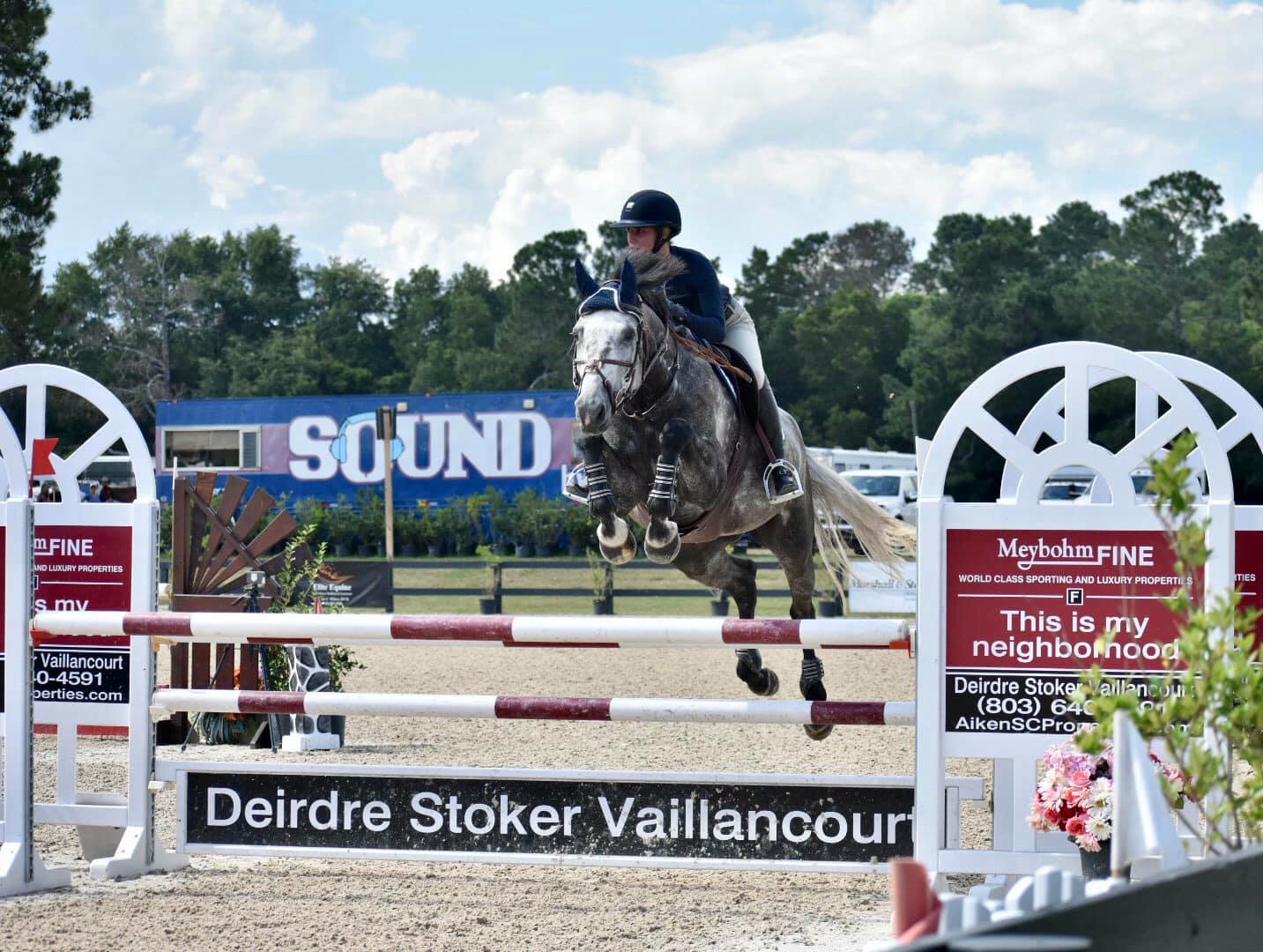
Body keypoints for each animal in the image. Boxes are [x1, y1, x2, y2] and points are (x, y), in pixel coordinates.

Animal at [571, 251, 914, 740]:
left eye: (628, 334)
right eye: (578, 334)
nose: (590, 407)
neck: (651, 398)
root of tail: (801, 448)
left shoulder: (707, 475)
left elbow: (675, 441)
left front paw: (654, 530)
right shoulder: (628, 480)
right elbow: (597, 465)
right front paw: (616, 538)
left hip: (791, 535)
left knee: (801, 608)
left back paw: (814, 696)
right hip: (699, 553)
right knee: (744, 578)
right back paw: (755, 671)